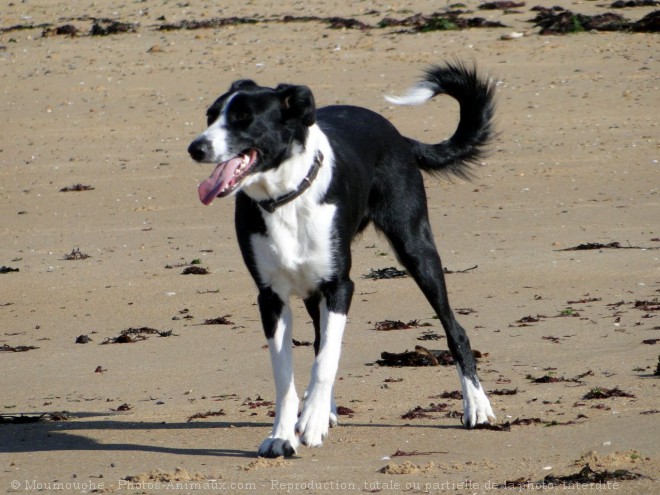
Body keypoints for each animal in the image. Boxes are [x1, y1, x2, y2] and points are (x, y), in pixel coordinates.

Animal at [186, 62, 496, 462]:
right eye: (211, 116)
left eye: (243, 118)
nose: (196, 148)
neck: (286, 197)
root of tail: (397, 134)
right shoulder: (271, 298)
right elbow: (286, 374)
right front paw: (282, 435)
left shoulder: (339, 286)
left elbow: (327, 359)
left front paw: (313, 421)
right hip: (311, 289)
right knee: (319, 340)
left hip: (415, 247)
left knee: (454, 328)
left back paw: (476, 405)